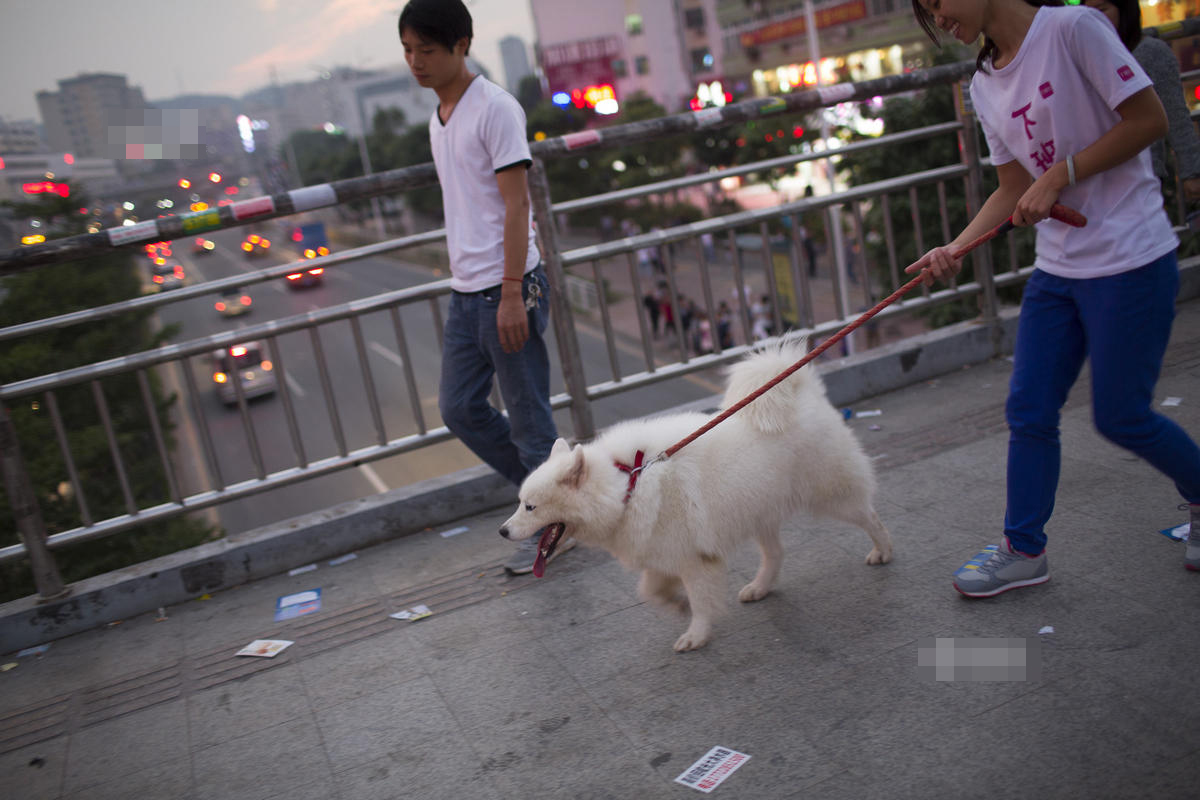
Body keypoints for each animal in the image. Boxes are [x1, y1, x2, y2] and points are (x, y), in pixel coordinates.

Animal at [496, 343, 892, 652]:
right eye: (519, 503)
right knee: (776, 553)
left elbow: (700, 601)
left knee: (870, 515)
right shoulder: (665, 553)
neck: (627, 485)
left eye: (530, 506)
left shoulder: (695, 558)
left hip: (831, 494)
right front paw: (677, 605)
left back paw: (883, 550)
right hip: (758, 510)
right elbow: (650, 590)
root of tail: (802, 392)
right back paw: (760, 587)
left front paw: (696, 633)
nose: (502, 532)